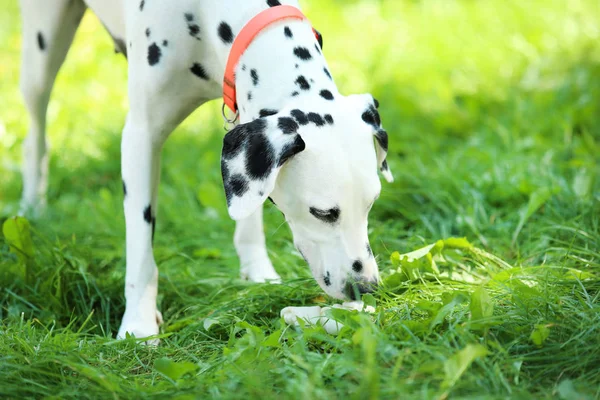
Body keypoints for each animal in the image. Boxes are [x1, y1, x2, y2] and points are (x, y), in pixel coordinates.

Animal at [17, 0, 394, 340]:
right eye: (323, 212)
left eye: (372, 204)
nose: (366, 288)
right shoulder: (140, 136)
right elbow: (140, 247)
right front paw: (138, 324)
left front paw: (257, 271)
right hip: (41, 53)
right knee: (35, 132)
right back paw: (31, 208)